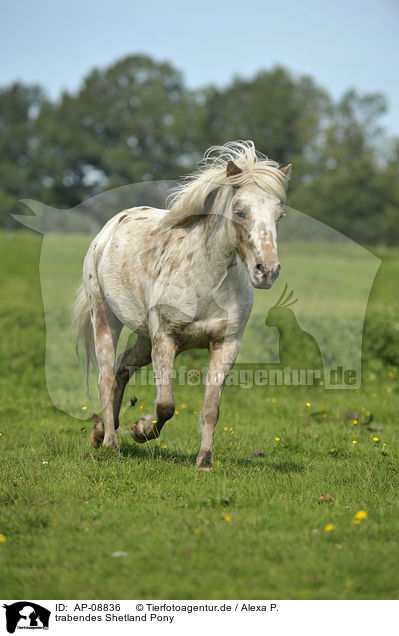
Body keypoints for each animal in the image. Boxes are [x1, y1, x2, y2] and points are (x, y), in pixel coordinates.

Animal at [73, 140, 292, 468]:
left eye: (279, 214)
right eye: (240, 212)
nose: (267, 271)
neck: (208, 282)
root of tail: (109, 229)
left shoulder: (225, 344)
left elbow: (211, 409)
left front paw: (204, 461)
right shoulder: (165, 339)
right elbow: (166, 405)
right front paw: (141, 430)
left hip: (144, 337)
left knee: (123, 367)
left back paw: (100, 432)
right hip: (105, 317)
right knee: (106, 377)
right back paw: (111, 442)